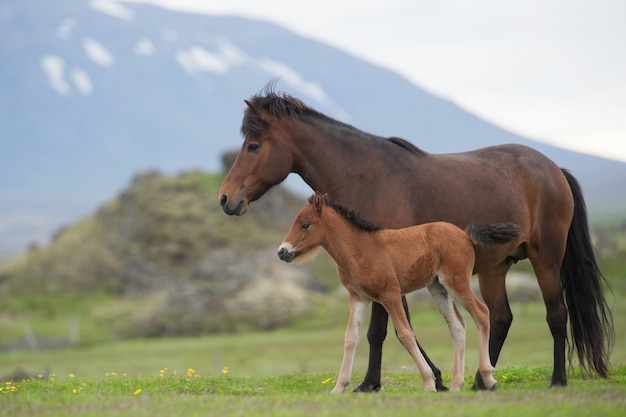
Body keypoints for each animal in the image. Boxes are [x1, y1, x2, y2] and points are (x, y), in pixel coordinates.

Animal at [217, 84, 612, 390]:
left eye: (253, 146)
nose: (225, 198)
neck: (364, 175)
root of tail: (553, 168)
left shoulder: (385, 275)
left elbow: (381, 330)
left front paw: (370, 384)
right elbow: (398, 327)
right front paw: (435, 376)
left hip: (546, 258)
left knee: (555, 314)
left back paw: (555, 379)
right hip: (495, 267)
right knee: (499, 317)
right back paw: (480, 381)